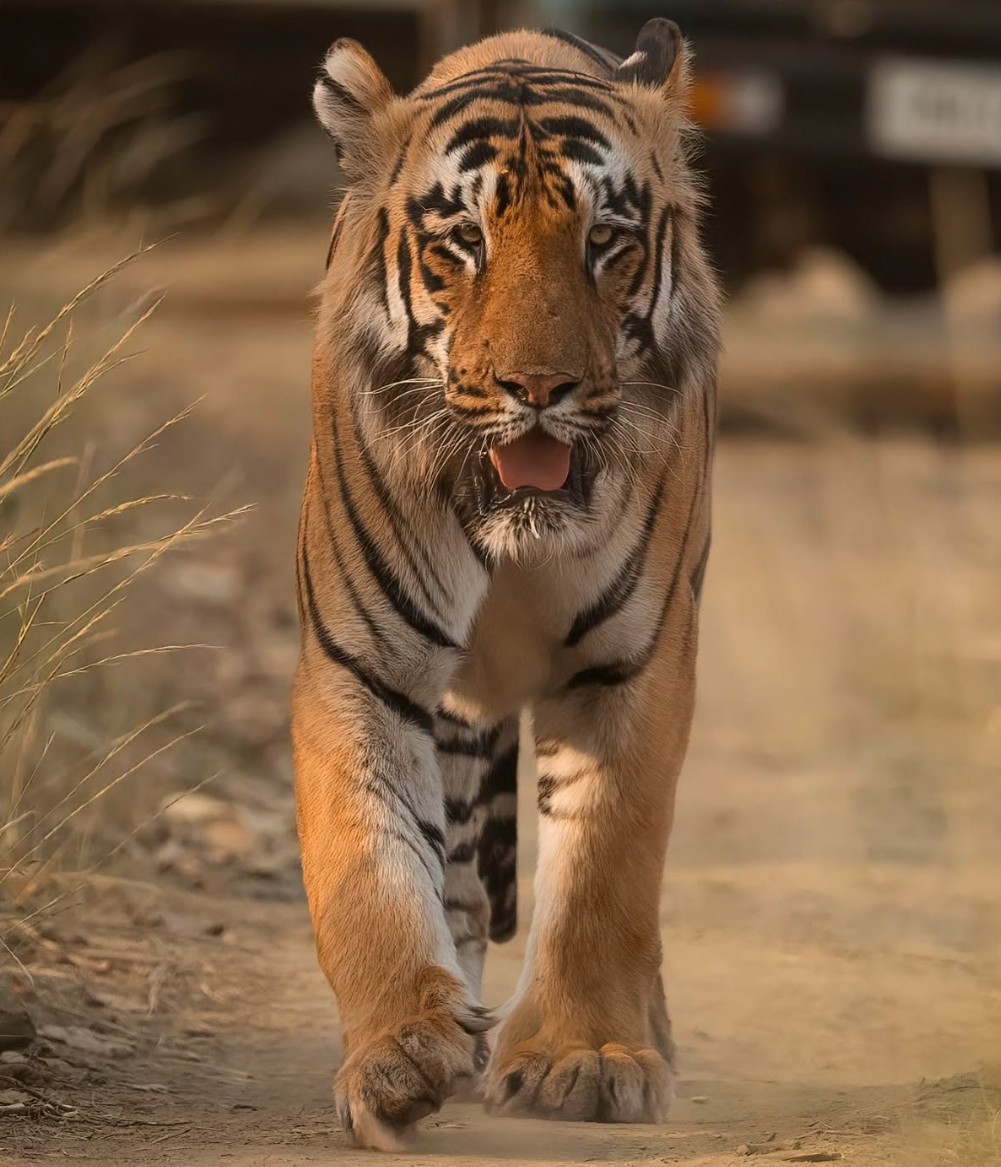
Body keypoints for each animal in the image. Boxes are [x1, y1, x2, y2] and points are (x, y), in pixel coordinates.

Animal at [292, 15, 721, 1150]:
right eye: (462, 243)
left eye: (606, 241)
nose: (539, 388)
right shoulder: (361, 661)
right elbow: (366, 863)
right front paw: (399, 1052)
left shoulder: (631, 664)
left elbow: (606, 869)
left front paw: (586, 1058)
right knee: (457, 877)